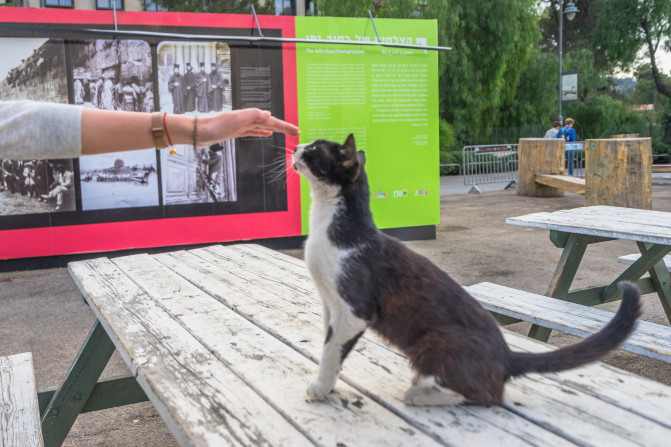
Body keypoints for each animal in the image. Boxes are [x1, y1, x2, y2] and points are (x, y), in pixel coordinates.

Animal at [292, 135, 640, 408]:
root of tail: (506, 355)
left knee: (487, 395)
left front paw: (320, 387)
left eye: (315, 149)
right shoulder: (330, 306)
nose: (295, 146)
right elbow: (330, 345)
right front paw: (328, 384)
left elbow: (331, 350)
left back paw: (421, 395)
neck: (330, 225)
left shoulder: (354, 310)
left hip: (436, 340)